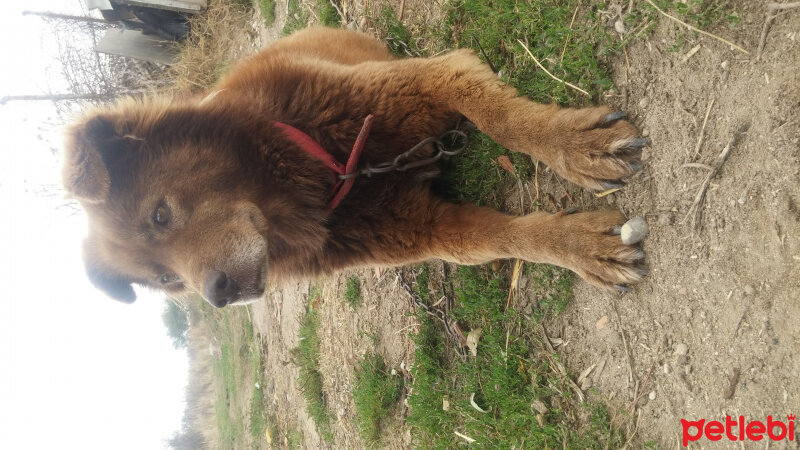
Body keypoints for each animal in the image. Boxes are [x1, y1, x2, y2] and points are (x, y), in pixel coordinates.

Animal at [61, 27, 644, 306]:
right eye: (165, 280)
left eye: (159, 216)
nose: (217, 295)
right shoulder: (427, 229)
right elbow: (498, 240)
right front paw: (578, 247)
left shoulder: (436, 76)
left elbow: (502, 119)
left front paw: (574, 144)